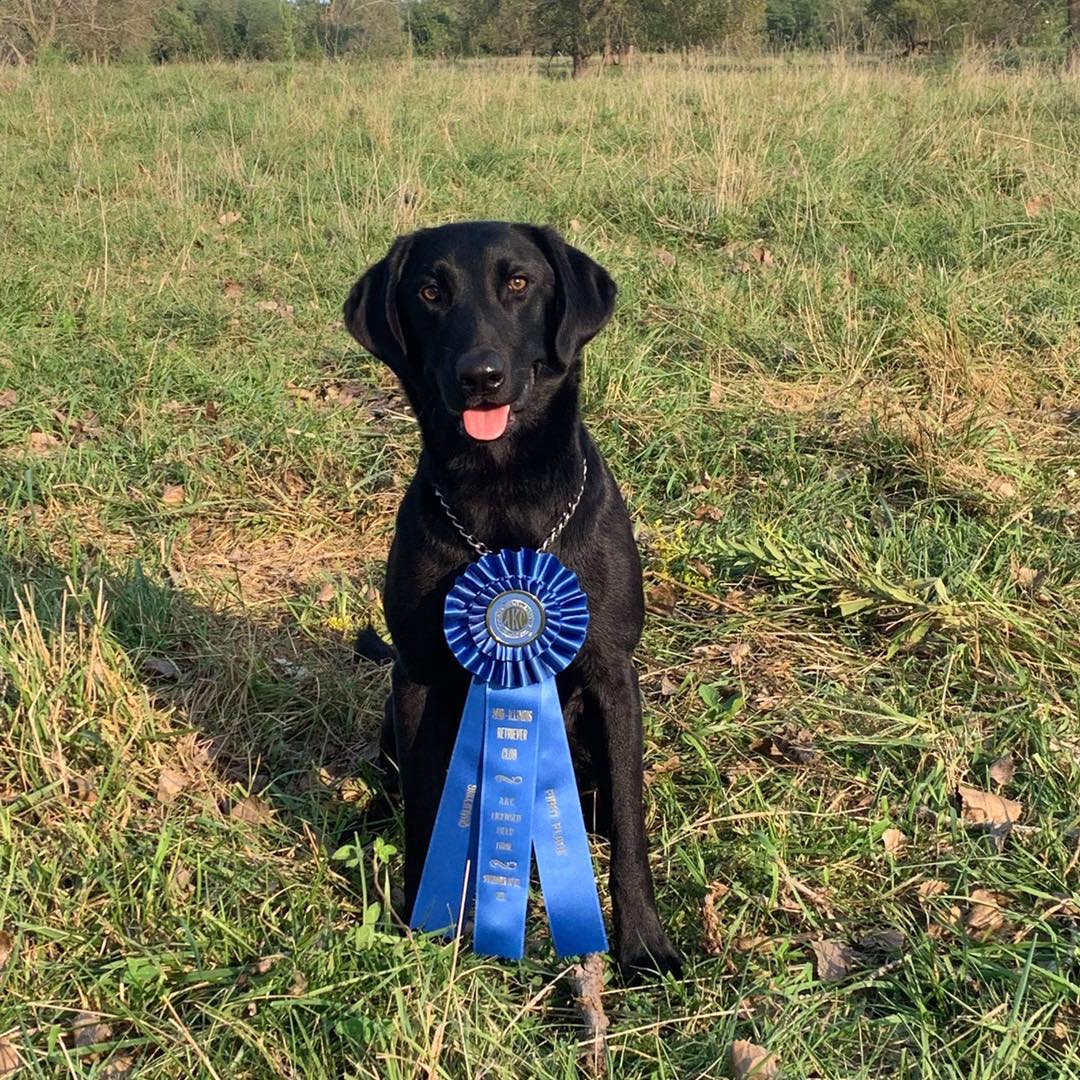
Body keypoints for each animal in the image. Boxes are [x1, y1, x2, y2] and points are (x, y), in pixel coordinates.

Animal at [347, 221, 682, 980]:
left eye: (520, 283)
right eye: (430, 292)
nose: (481, 377)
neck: (503, 500)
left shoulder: (614, 676)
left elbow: (631, 829)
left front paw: (644, 945)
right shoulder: (417, 675)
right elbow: (425, 809)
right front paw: (428, 921)